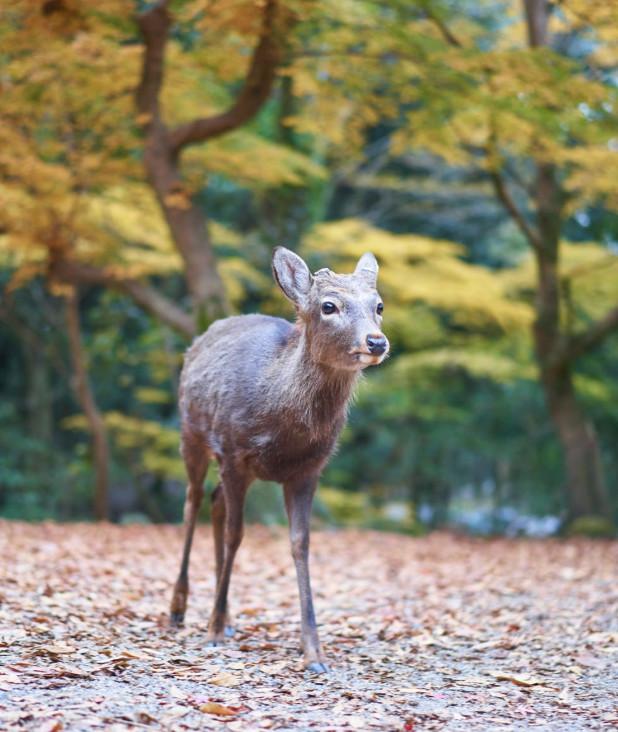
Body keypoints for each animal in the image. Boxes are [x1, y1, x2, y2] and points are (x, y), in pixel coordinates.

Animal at [167, 247, 390, 676]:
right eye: (328, 306)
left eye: (379, 305)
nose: (376, 341)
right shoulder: (234, 450)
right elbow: (237, 534)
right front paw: (212, 632)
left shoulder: (309, 469)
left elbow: (300, 543)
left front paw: (314, 652)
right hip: (192, 433)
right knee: (192, 502)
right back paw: (179, 609)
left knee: (215, 503)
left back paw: (228, 617)